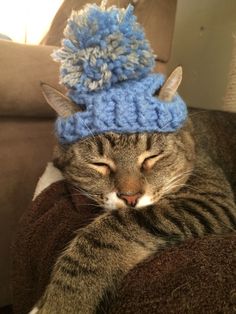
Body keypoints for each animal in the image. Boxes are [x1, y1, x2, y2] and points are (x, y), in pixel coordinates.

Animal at [31, 67, 236, 312]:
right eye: (99, 164)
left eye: (151, 157)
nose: (130, 198)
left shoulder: (212, 200)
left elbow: (109, 232)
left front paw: (63, 301)